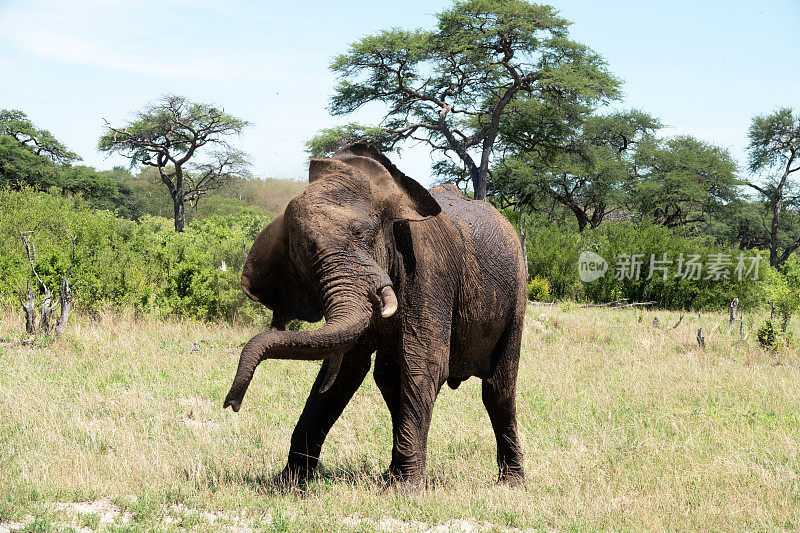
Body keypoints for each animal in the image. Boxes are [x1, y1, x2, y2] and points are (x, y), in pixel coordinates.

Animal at [222, 143, 528, 488]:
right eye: (305, 251)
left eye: (362, 234)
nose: (231, 403)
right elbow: (346, 371)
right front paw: (288, 482)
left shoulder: (429, 268)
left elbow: (425, 364)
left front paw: (404, 492)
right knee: (389, 379)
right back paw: (391, 474)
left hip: (517, 290)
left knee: (498, 389)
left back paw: (511, 483)